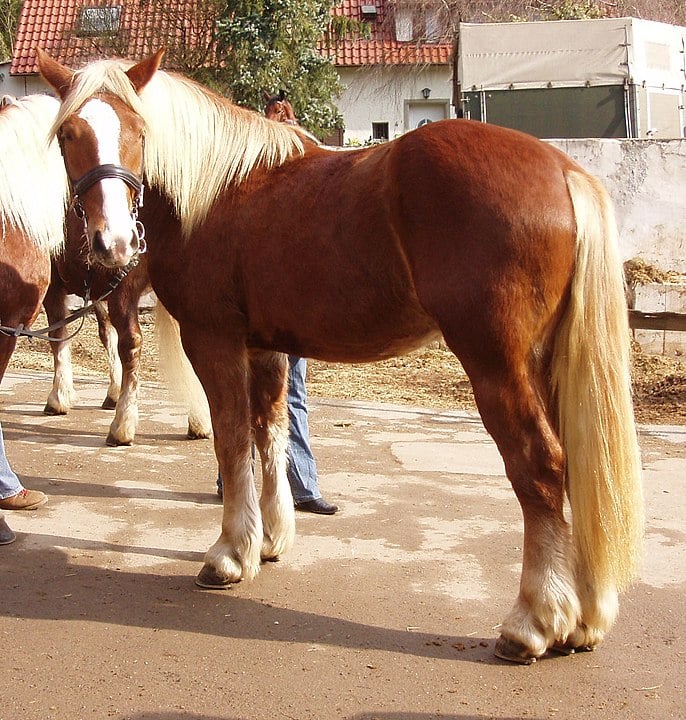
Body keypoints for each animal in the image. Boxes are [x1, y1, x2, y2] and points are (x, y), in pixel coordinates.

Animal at [40, 52, 648, 664]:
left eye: (138, 131)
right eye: (69, 135)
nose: (112, 243)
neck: (216, 192)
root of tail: (562, 169)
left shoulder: (214, 340)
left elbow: (232, 440)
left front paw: (230, 554)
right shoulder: (266, 347)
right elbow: (270, 433)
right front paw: (271, 538)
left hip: (498, 365)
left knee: (541, 467)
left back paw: (533, 622)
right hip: (547, 364)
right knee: (581, 462)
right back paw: (583, 620)